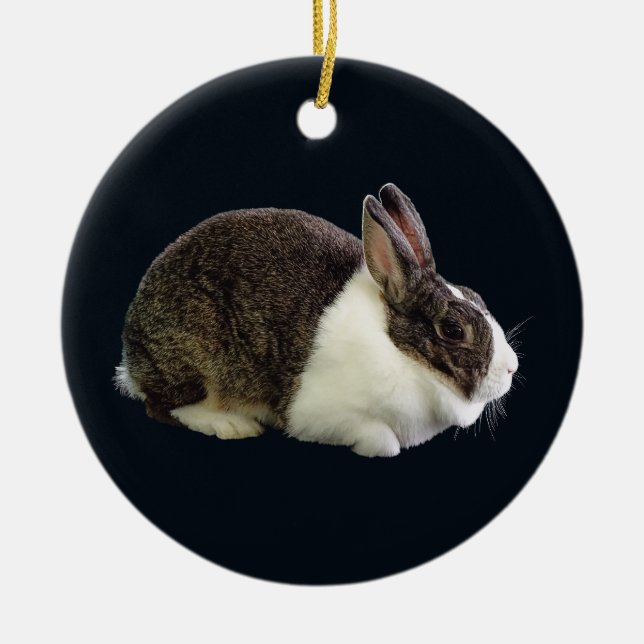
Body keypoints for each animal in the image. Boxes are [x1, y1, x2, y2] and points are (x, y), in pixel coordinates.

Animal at [115, 183, 519, 457]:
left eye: (476, 296)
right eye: (452, 330)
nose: (512, 367)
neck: (400, 350)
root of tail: (131, 358)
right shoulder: (321, 413)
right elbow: (383, 441)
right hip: (198, 355)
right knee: (164, 405)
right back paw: (230, 424)